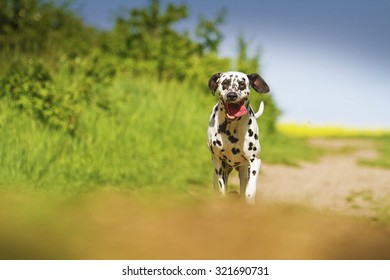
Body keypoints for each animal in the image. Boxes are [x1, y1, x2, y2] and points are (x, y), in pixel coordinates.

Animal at [209, 71, 270, 205]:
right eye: (225, 83)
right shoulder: (218, 162)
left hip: (244, 171)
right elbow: (222, 190)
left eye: (242, 84)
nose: (232, 95)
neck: (231, 129)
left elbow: (250, 191)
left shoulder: (255, 161)